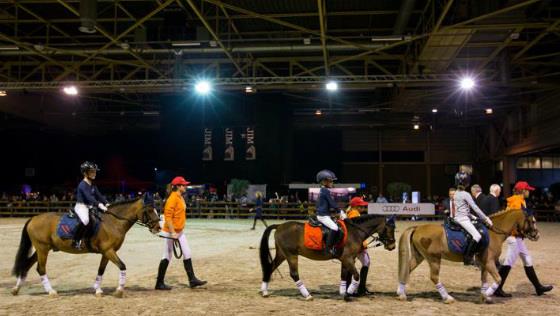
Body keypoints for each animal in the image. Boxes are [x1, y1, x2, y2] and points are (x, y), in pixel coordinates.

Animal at [10, 196, 160, 298]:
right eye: (149, 210)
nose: (158, 228)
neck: (113, 222)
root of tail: (33, 218)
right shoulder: (109, 251)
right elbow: (122, 266)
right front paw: (119, 291)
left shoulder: (107, 252)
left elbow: (101, 270)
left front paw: (98, 290)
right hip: (42, 249)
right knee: (40, 269)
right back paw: (51, 291)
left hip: (41, 249)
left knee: (26, 266)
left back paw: (16, 289)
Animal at [260, 215, 396, 302]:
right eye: (388, 229)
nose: (392, 246)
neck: (355, 231)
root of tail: (279, 226)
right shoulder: (348, 259)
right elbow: (356, 276)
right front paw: (348, 294)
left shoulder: (346, 260)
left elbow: (344, 275)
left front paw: (343, 292)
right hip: (291, 255)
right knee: (294, 274)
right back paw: (307, 295)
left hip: (282, 254)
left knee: (270, 268)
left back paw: (265, 291)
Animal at [396, 210, 540, 304]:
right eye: (532, 221)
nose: (537, 235)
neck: (493, 233)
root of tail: (417, 227)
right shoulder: (489, 262)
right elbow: (498, 279)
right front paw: (486, 295)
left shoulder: (484, 264)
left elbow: (484, 281)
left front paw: (485, 296)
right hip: (434, 259)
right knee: (434, 277)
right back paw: (447, 298)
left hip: (419, 257)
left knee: (407, 270)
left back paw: (401, 294)